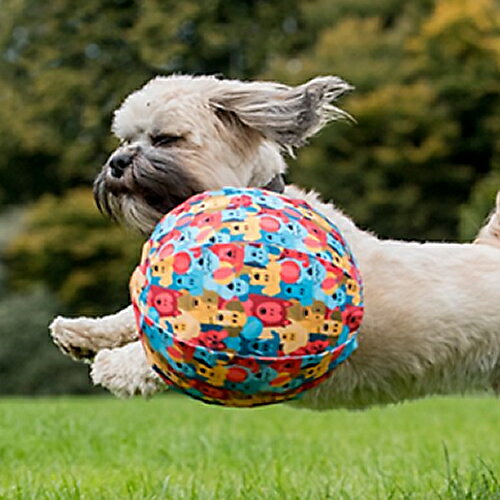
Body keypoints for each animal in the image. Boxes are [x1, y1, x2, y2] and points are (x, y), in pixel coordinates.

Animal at [49, 75, 500, 410]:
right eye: (126, 139)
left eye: (165, 139)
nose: (116, 163)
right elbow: (132, 314)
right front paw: (83, 332)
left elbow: (169, 351)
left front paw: (114, 366)